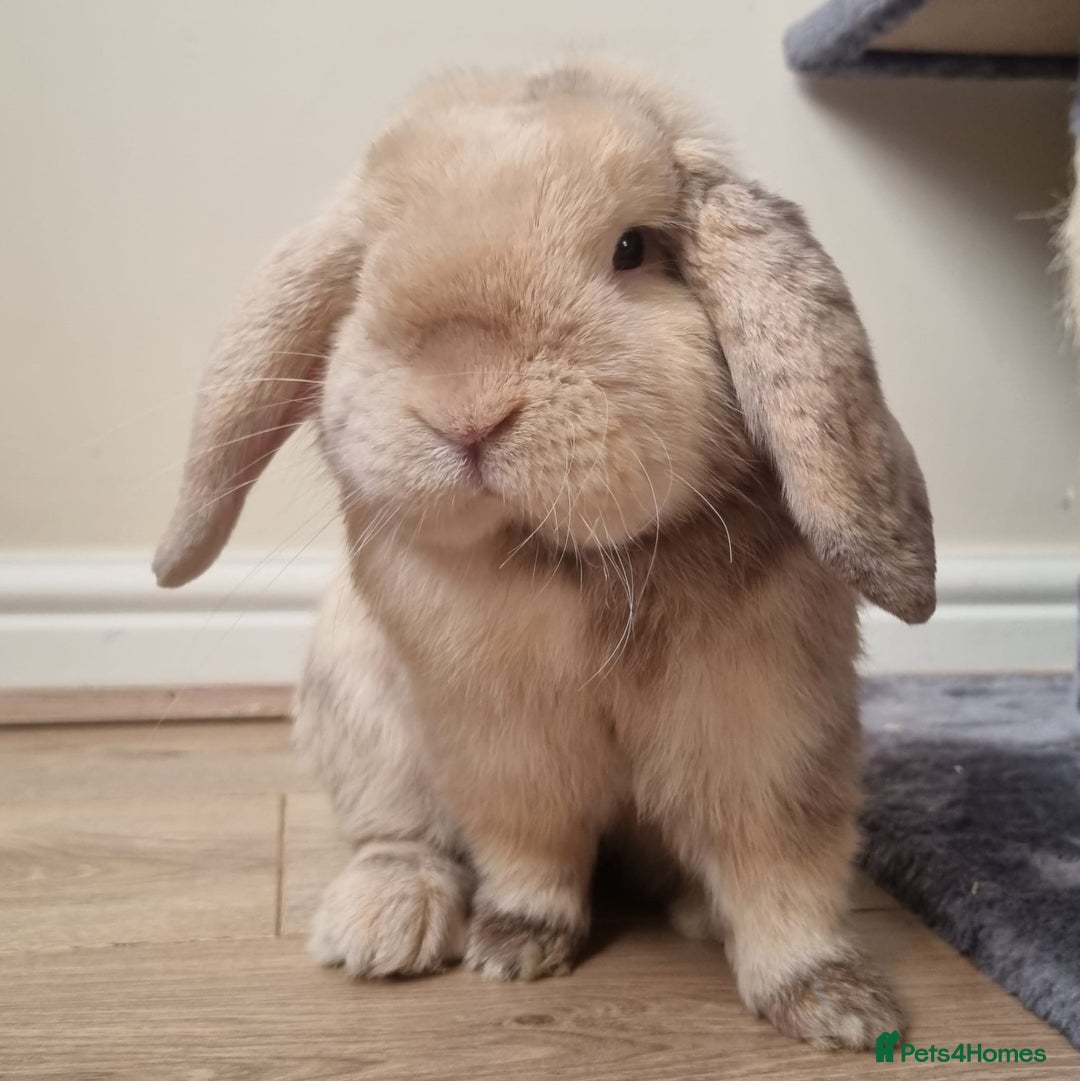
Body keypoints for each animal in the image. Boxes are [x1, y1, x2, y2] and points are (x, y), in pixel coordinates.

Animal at [153, 60, 935, 1050]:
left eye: (633, 248)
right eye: (367, 269)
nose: (466, 407)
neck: (577, 561)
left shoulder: (768, 727)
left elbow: (780, 864)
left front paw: (836, 1005)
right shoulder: (500, 735)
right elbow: (531, 839)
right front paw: (515, 943)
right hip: (359, 712)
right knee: (396, 835)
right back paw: (382, 927)